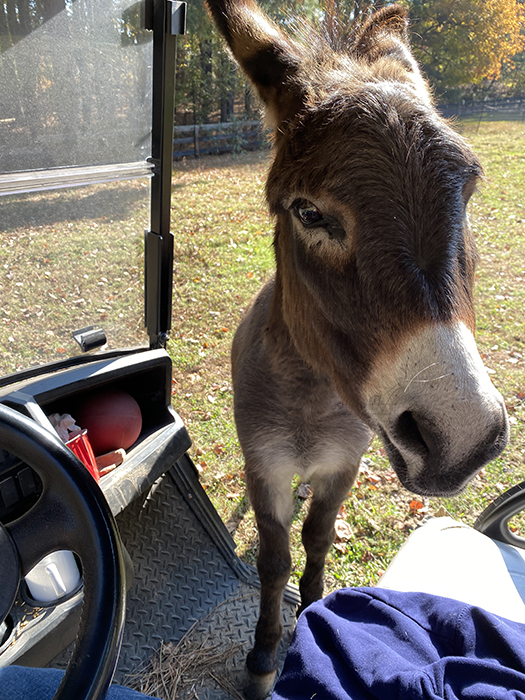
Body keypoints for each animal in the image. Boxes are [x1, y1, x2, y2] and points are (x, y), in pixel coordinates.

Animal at [203, 1, 509, 697]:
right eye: (309, 213)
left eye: (469, 192)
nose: (463, 436)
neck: (314, 396)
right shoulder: (265, 463)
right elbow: (273, 557)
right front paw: (263, 655)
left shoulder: (343, 463)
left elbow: (316, 539)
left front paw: (314, 610)